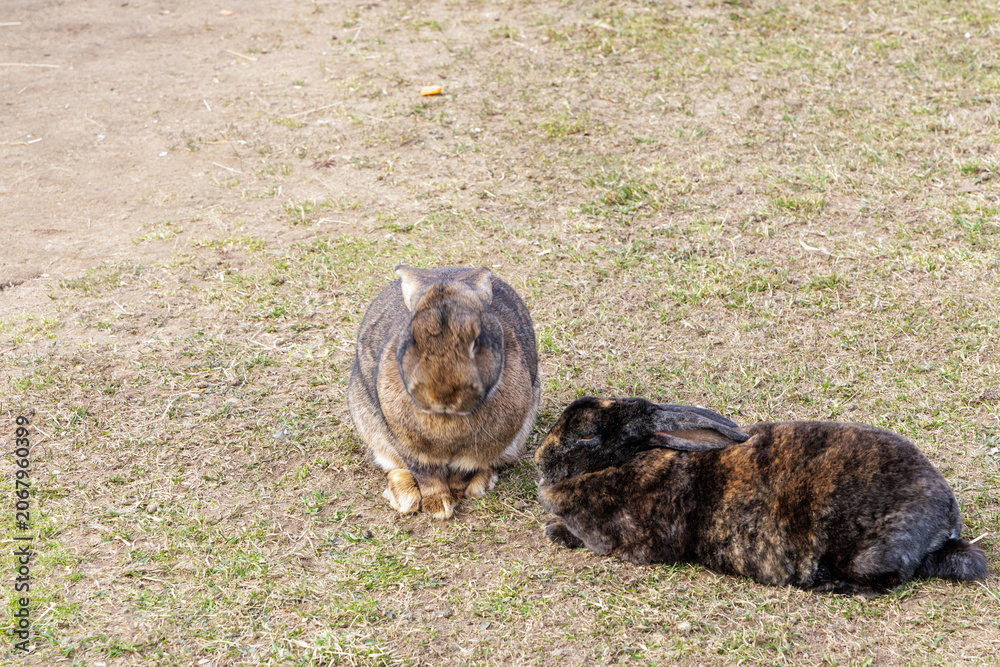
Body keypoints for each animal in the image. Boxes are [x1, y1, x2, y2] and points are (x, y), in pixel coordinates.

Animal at [348, 265, 540, 520]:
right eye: (413, 339)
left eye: (476, 341)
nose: (443, 394)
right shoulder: (411, 447)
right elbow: (427, 475)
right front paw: (438, 507)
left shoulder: (476, 452)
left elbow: (461, 475)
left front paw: (453, 499)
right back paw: (404, 496)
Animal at [535, 396, 988, 594]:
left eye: (586, 436)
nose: (539, 460)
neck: (634, 458)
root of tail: (945, 523)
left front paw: (554, 530)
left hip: (869, 553)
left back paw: (829, 586)